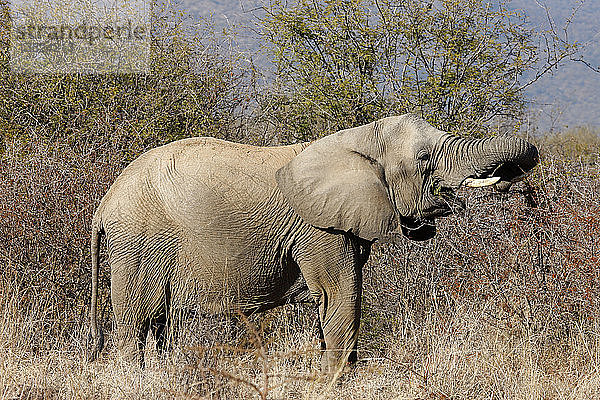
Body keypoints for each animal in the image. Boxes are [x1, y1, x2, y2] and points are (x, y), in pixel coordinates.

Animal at [88, 114, 540, 374]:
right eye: (425, 159)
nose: (518, 186)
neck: (358, 138)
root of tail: (104, 204)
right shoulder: (317, 226)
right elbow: (340, 293)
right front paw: (338, 380)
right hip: (137, 242)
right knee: (136, 320)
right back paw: (134, 378)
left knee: (159, 323)